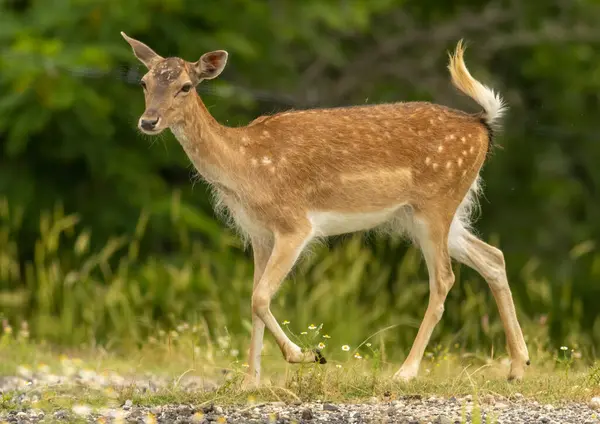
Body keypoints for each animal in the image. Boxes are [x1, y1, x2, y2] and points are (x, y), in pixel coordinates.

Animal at [120, 31, 528, 386]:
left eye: (185, 86)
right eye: (143, 82)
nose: (148, 121)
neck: (246, 168)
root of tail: (482, 124)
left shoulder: (294, 224)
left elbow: (260, 297)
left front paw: (306, 355)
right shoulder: (258, 234)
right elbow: (251, 300)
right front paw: (250, 382)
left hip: (436, 204)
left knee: (443, 279)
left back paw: (406, 372)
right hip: (429, 214)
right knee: (493, 257)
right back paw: (517, 367)